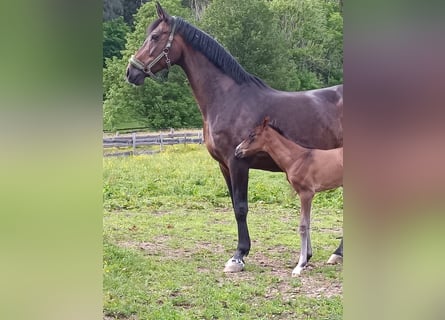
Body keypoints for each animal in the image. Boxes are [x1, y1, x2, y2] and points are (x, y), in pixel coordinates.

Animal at [234, 117, 342, 276]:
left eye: (252, 135)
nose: (237, 150)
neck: (297, 158)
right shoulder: (305, 194)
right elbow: (307, 223)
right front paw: (306, 258)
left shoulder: (306, 193)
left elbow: (303, 226)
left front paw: (300, 266)